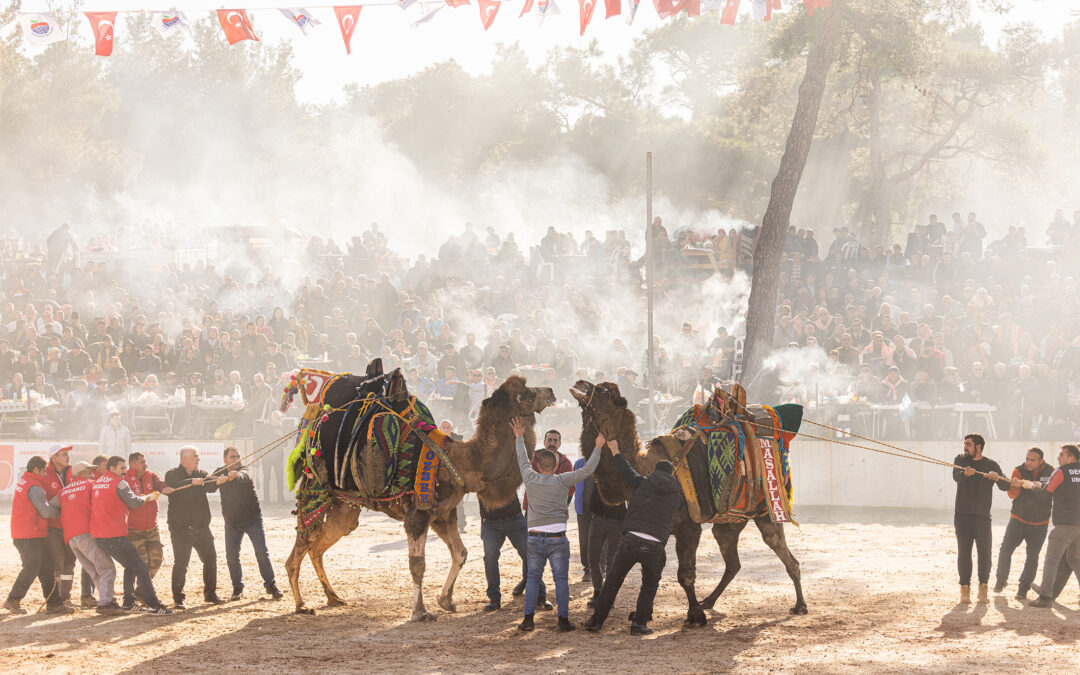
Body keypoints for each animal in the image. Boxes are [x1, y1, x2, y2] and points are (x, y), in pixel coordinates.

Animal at [287, 369, 557, 622]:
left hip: (344, 507)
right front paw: (419, 612)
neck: (462, 462)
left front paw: (446, 601)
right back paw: (301, 605)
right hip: (315, 489)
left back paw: (333, 597)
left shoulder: (443, 514)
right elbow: (417, 564)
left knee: (319, 546)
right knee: (303, 543)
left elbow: (460, 553)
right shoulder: (419, 512)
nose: (551, 391)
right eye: (526, 393)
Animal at [570, 380, 807, 626]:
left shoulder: (688, 527)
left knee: (784, 554)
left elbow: (685, 575)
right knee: (732, 560)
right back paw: (709, 601)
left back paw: (800, 605)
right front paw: (645, 613)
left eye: (604, 391)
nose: (580, 383)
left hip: (765, 511)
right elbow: (655, 569)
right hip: (730, 520)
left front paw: (695, 616)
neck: (648, 468)